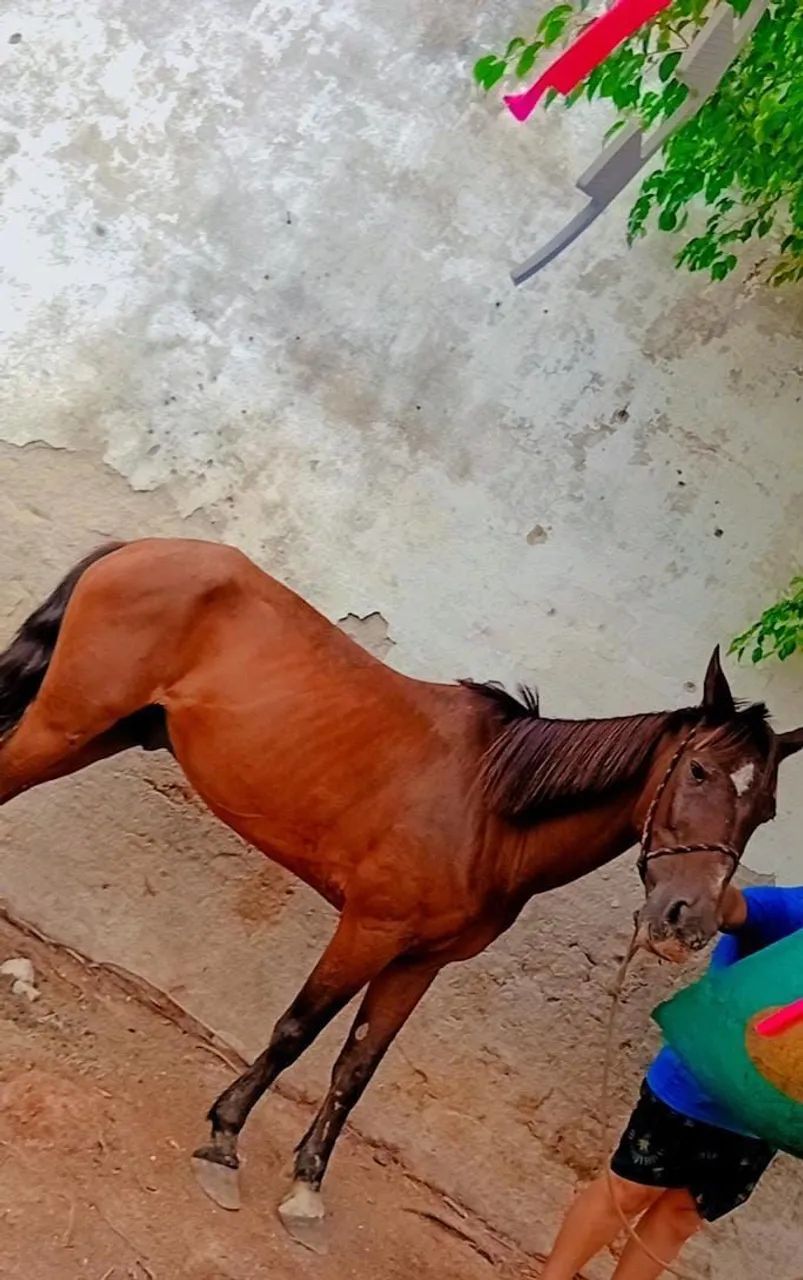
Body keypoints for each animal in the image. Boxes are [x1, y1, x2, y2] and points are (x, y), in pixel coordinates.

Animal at [0, 537, 799, 1243]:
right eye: (697, 770)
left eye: (763, 812)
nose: (686, 921)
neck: (489, 810)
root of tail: (143, 549)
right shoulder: (368, 928)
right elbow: (296, 1031)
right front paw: (224, 1145)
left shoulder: (419, 962)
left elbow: (357, 1067)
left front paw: (306, 1191)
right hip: (66, 723)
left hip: (102, 732)